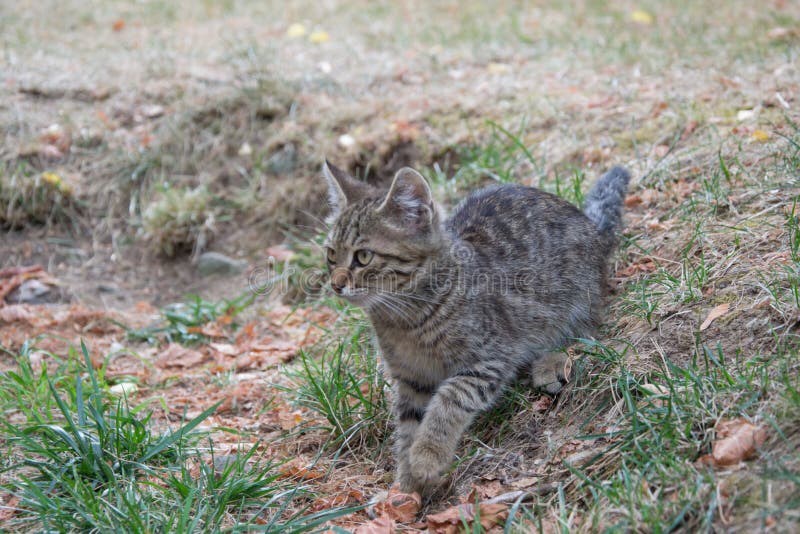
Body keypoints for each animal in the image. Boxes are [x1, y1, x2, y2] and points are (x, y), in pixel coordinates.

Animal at [322, 160, 628, 498]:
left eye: (363, 256)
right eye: (331, 255)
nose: (335, 284)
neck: (404, 320)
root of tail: (593, 228)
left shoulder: (488, 359)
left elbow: (449, 401)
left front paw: (427, 456)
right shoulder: (411, 379)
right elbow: (407, 425)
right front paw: (408, 483)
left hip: (573, 302)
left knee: (584, 335)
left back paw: (549, 364)